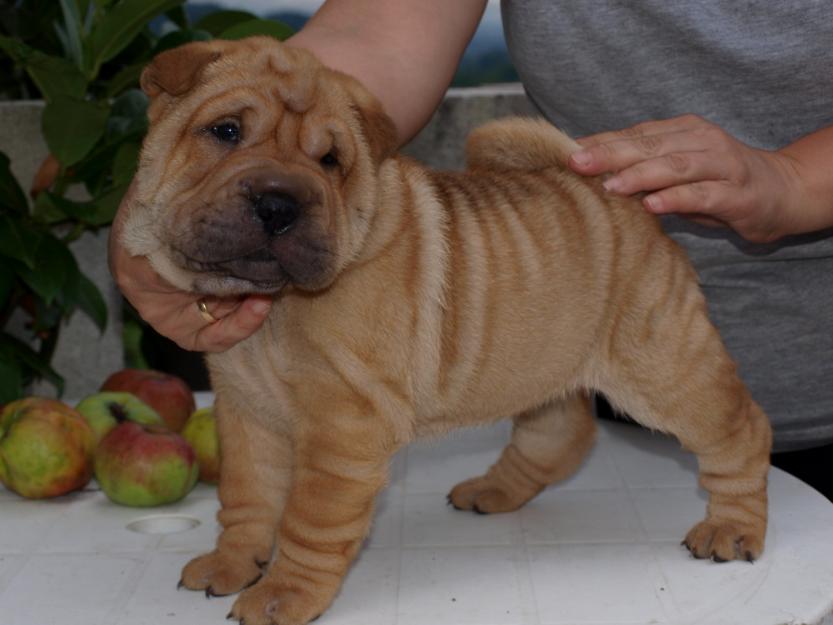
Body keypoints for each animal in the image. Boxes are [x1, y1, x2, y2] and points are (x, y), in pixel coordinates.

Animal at [120, 37, 772, 624]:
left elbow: (309, 519)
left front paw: (283, 596)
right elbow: (247, 497)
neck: (274, 312)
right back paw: (492, 491)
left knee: (741, 429)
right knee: (562, 433)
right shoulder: (247, 412)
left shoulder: (342, 426)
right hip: (544, 365)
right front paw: (231, 564)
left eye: (331, 162)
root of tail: (621, 199)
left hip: (663, 368)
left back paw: (731, 528)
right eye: (226, 131)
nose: (280, 203)